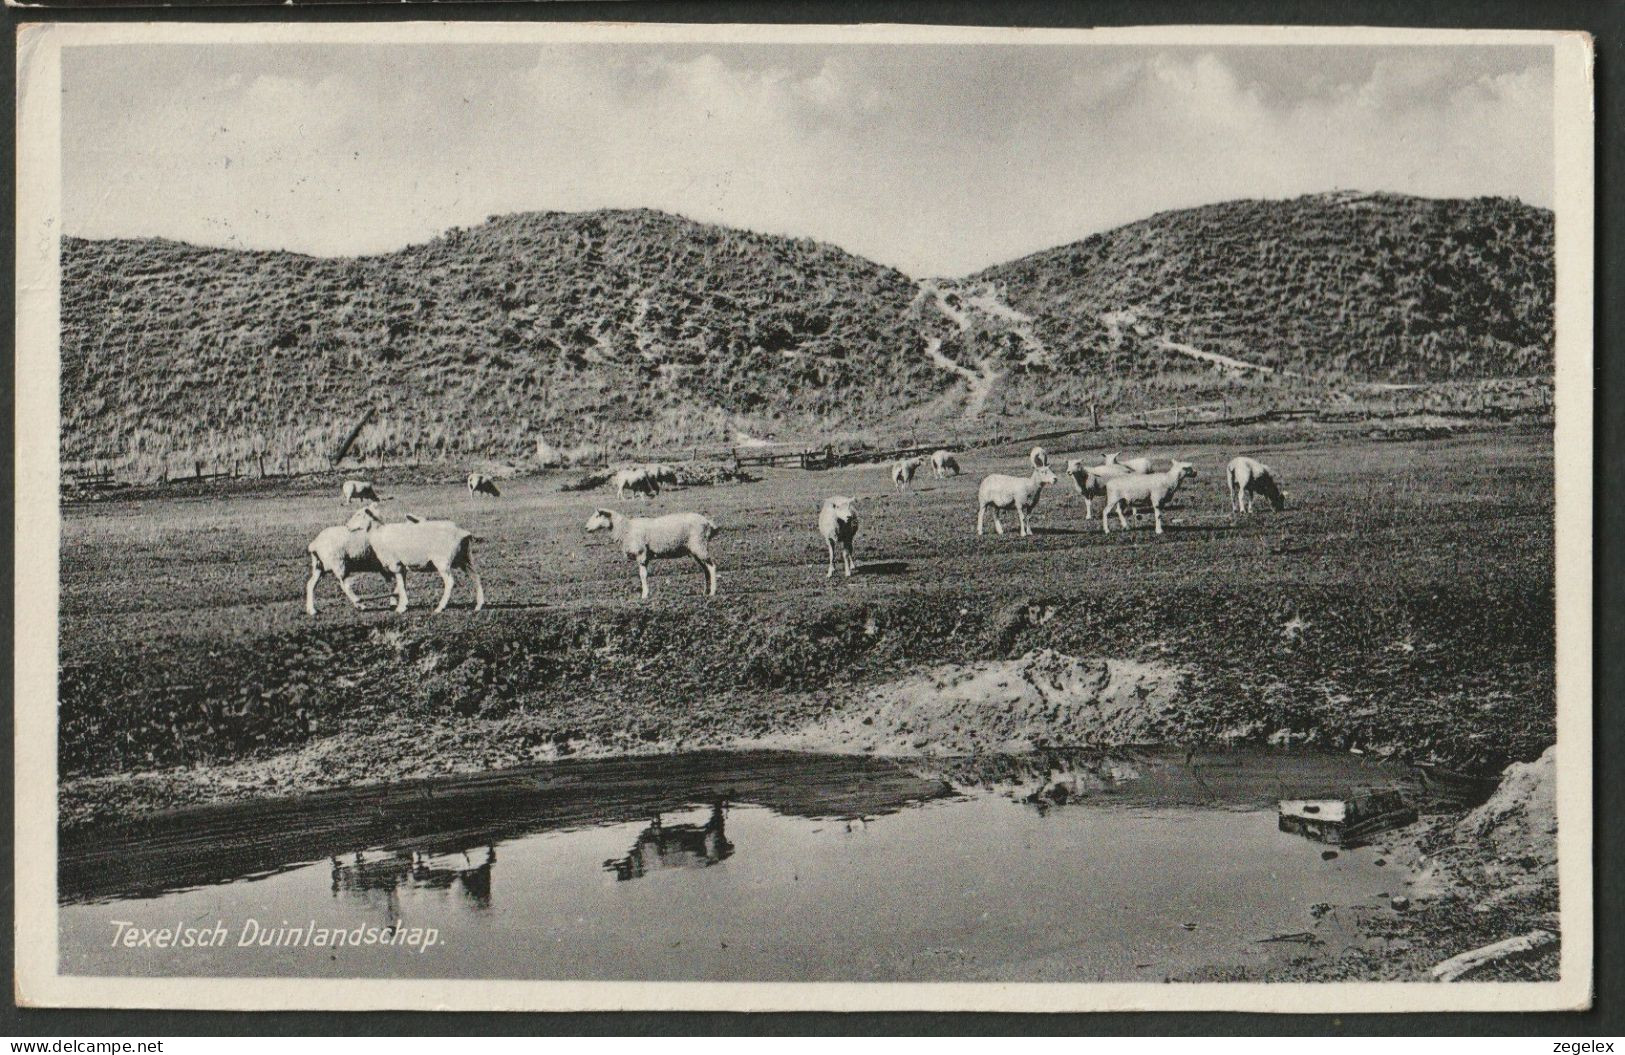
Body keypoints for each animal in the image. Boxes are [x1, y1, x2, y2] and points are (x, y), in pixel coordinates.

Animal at [347, 503, 481, 614]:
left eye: (359, 514)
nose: (347, 526)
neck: (379, 534)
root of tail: (462, 532)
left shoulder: (395, 564)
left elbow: (401, 586)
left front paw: (401, 608)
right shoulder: (402, 566)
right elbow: (401, 585)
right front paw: (401, 603)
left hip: (443, 561)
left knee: (450, 582)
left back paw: (440, 607)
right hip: (464, 559)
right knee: (476, 577)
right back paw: (479, 605)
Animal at [581, 507, 715, 598]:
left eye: (597, 516)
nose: (586, 528)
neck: (625, 528)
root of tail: (708, 522)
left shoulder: (641, 554)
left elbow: (643, 575)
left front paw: (644, 595)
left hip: (699, 545)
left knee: (712, 567)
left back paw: (713, 592)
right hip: (696, 550)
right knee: (705, 569)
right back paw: (705, 591)